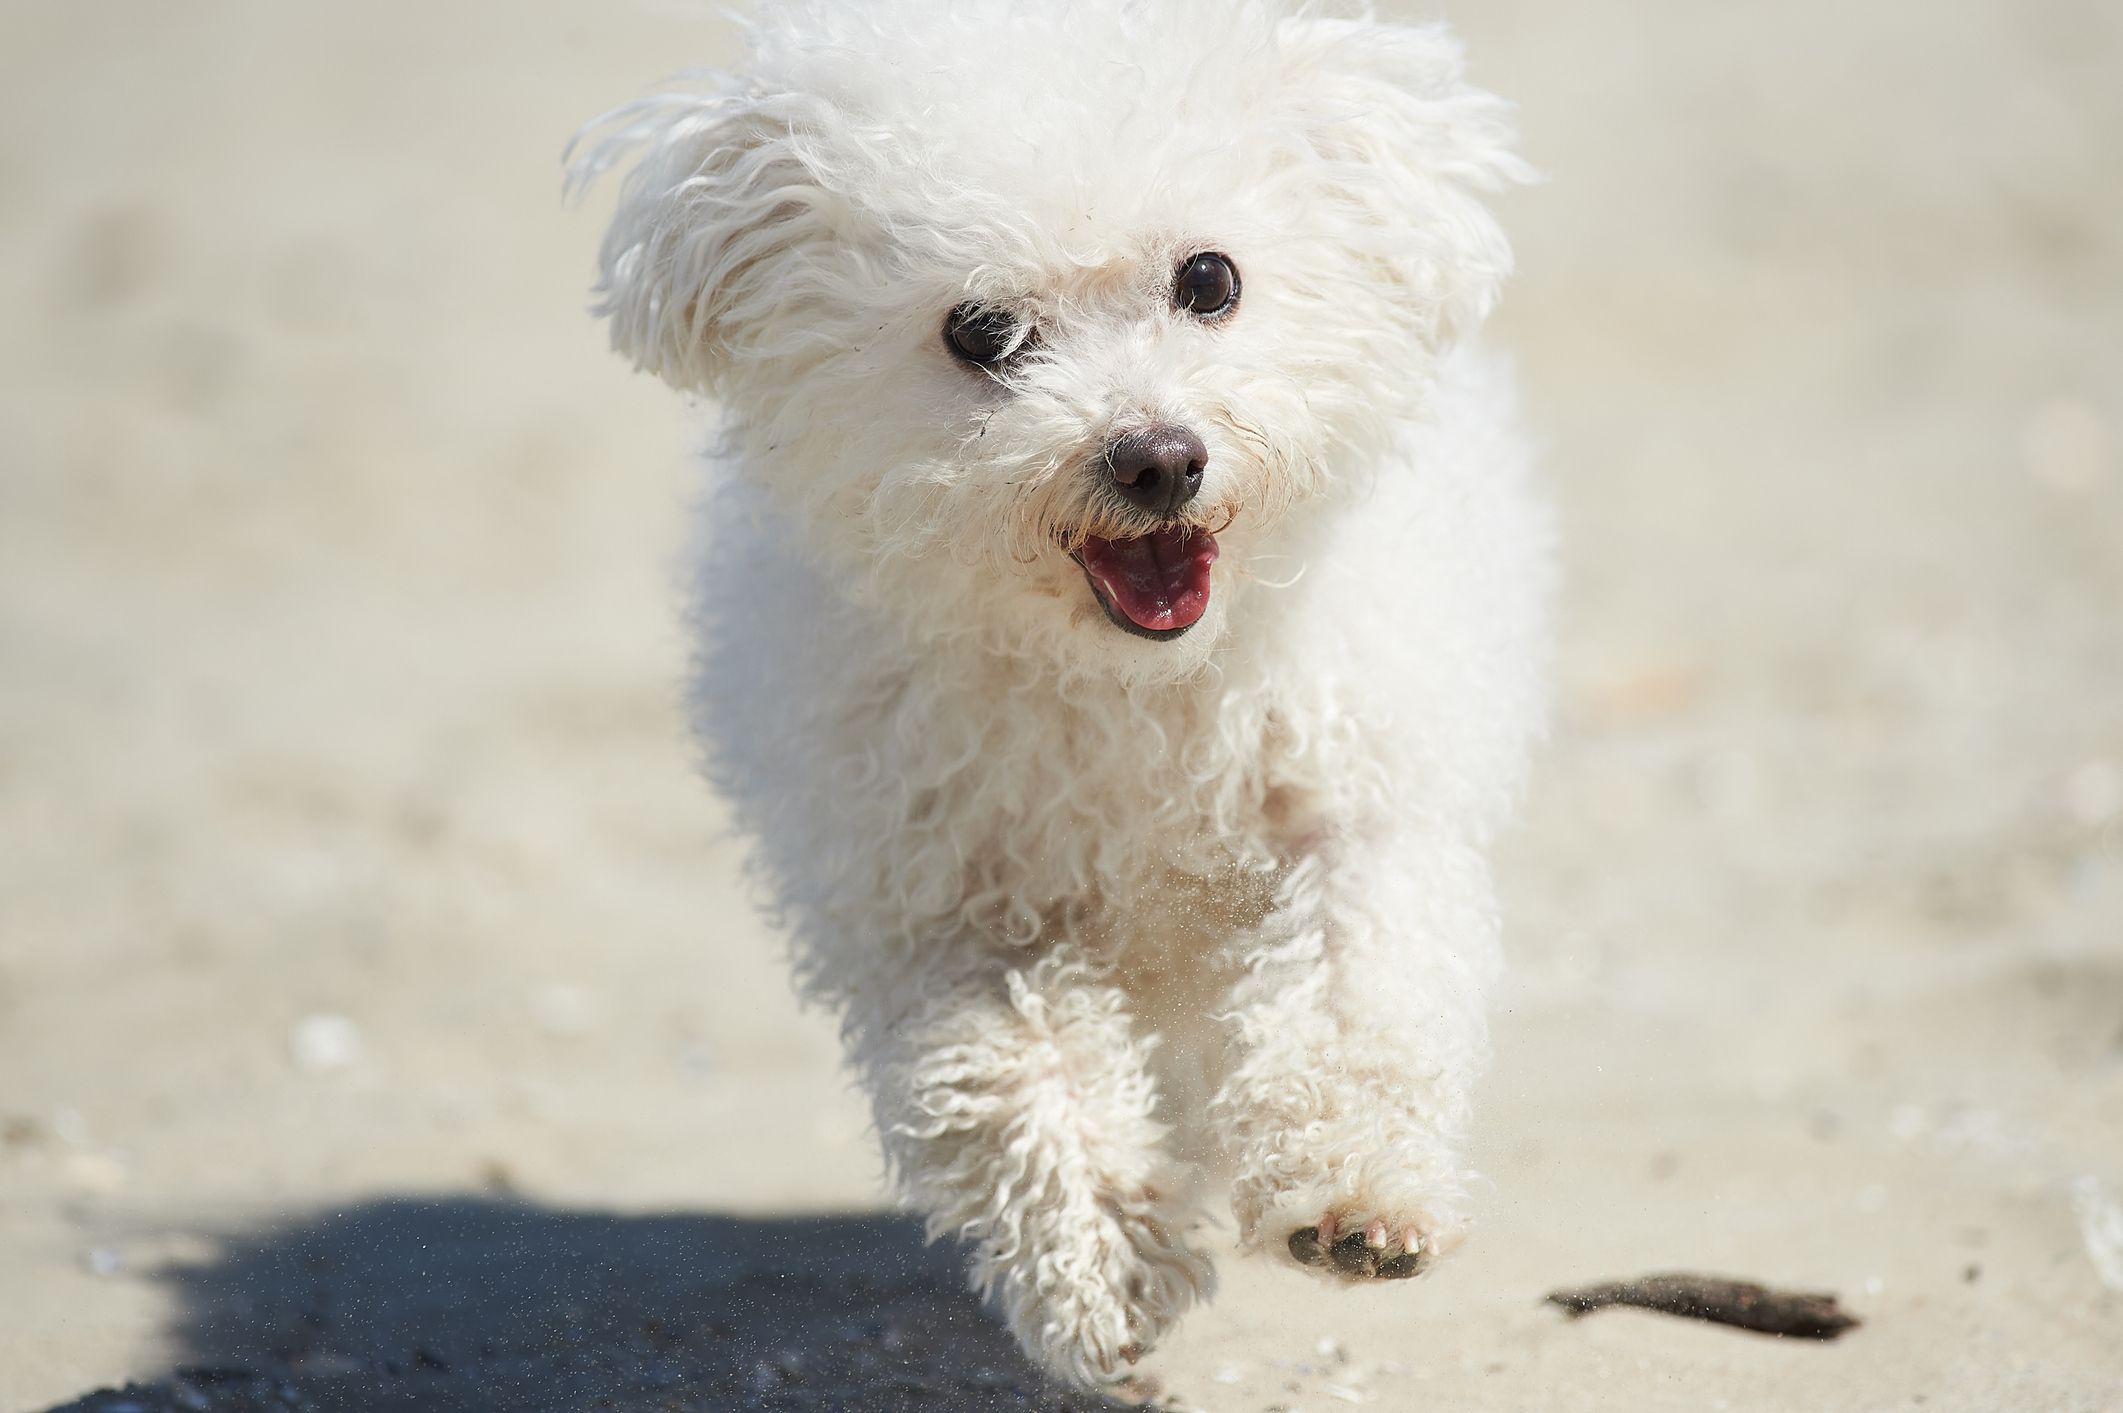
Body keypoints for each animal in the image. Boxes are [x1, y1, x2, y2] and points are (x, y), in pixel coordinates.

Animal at [573, 0, 1554, 1383]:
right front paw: (1104, 1260)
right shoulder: (943, 909)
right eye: (979, 332)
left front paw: (1354, 1191)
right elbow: (1017, 1076)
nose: (1155, 457)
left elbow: (1353, 990)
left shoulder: (1356, 804)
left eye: (1209, 279)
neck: (1127, 681)